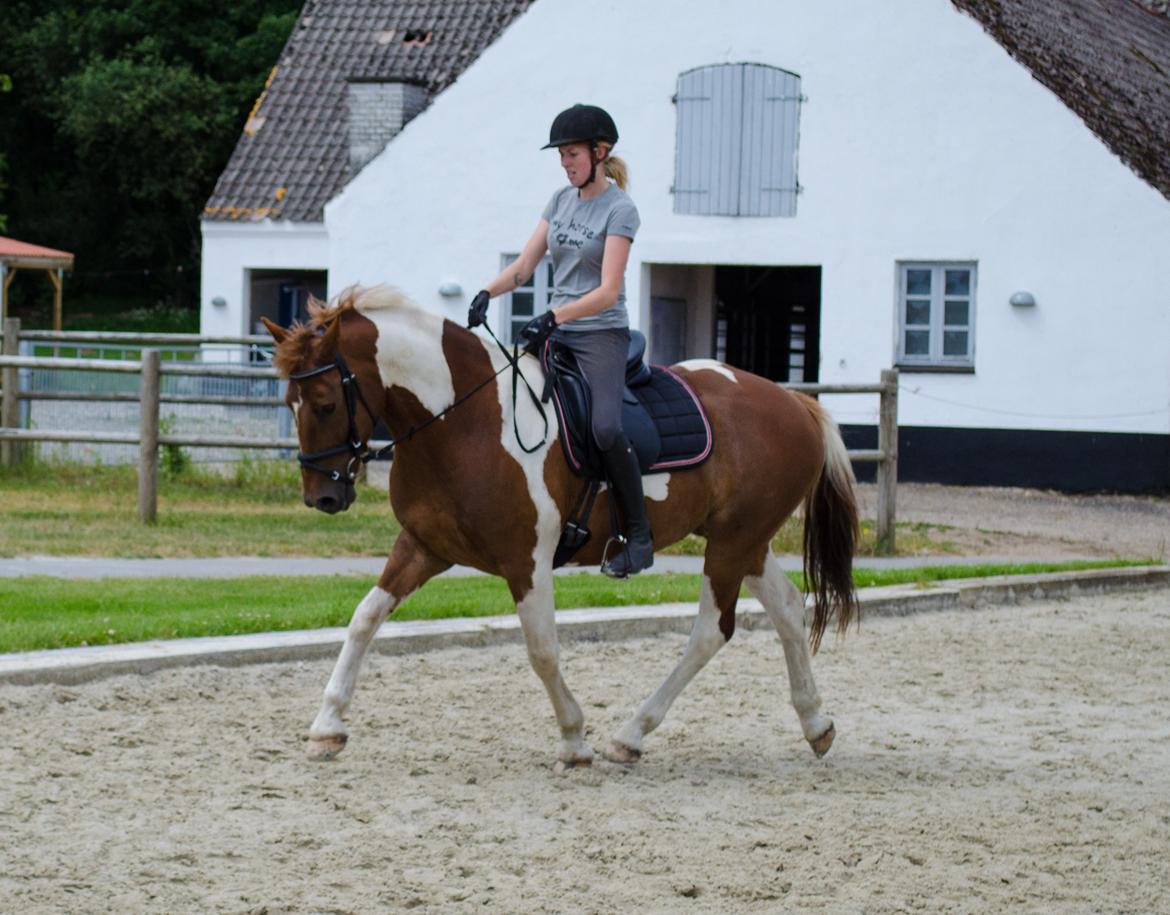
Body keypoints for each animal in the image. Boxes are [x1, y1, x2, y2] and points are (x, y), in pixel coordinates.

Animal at [269, 284, 865, 767]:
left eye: (324, 402)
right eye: (290, 402)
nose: (323, 496)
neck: (464, 419)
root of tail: (794, 402)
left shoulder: (526, 560)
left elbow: (542, 650)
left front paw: (574, 740)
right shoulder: (422, 547)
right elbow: (364, 618)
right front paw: (327, 726)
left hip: (733, 542)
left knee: (709, 631)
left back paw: (630, 734)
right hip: (742, 540)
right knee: (787, 608)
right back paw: (816, 724)